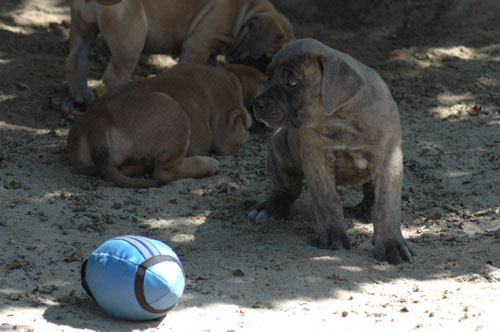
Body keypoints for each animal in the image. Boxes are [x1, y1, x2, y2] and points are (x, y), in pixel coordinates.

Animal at [66, 0, 292, 105]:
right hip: (130, 39)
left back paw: (81, 96)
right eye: (265, 60)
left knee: (76, 60)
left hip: (83, 30)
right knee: (115, 76)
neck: (244, 11)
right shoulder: (198, 45)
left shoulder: (210, 50)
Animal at [69, 63, 270, 188]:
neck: (235, 78)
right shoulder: (228, 131)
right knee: (166, 173)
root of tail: (98, 119)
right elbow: (246, 133)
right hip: (173, 111)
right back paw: (208, 164)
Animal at [248, 38, 416, 264]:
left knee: (372, 191)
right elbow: (327, 198)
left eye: (291, 82)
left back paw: (369, 207)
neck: (341, 118)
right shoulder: (315, 158)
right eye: (268, 76)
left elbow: (387, 205)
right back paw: (270, 208)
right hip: (279, 144)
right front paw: (331, 234)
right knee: (286, 187)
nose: (257, 103)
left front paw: (391, 243)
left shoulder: (389, 158)